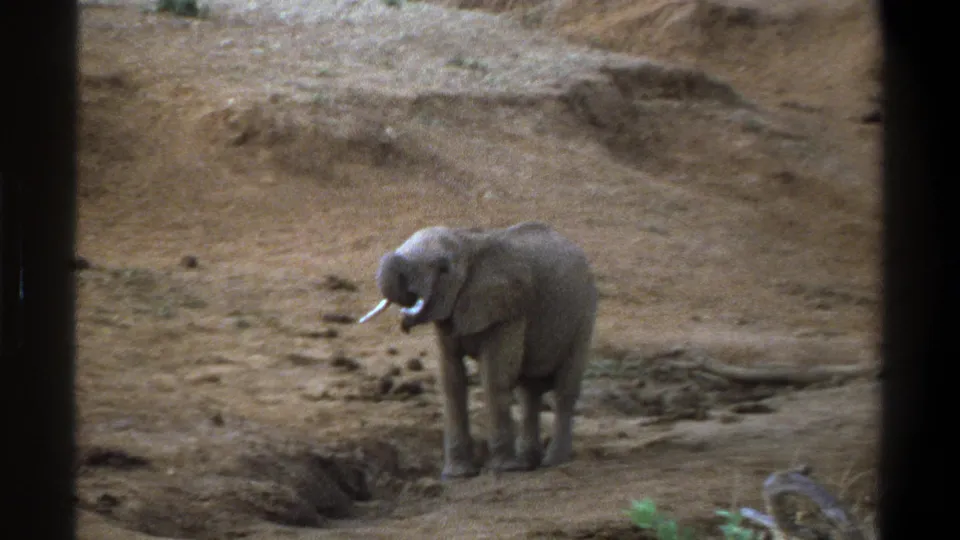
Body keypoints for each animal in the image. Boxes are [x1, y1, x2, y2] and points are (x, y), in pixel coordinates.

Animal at [359, 221, 598, 478]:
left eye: (443, 268)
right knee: (529, 392)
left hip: (584, 315)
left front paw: (504, 469)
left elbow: (494, 377)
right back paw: (528, 462)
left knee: (564, 389)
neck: (467, 243)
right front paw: (458, 474)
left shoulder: (509, 309)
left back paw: (553, 461)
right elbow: (451, 381)